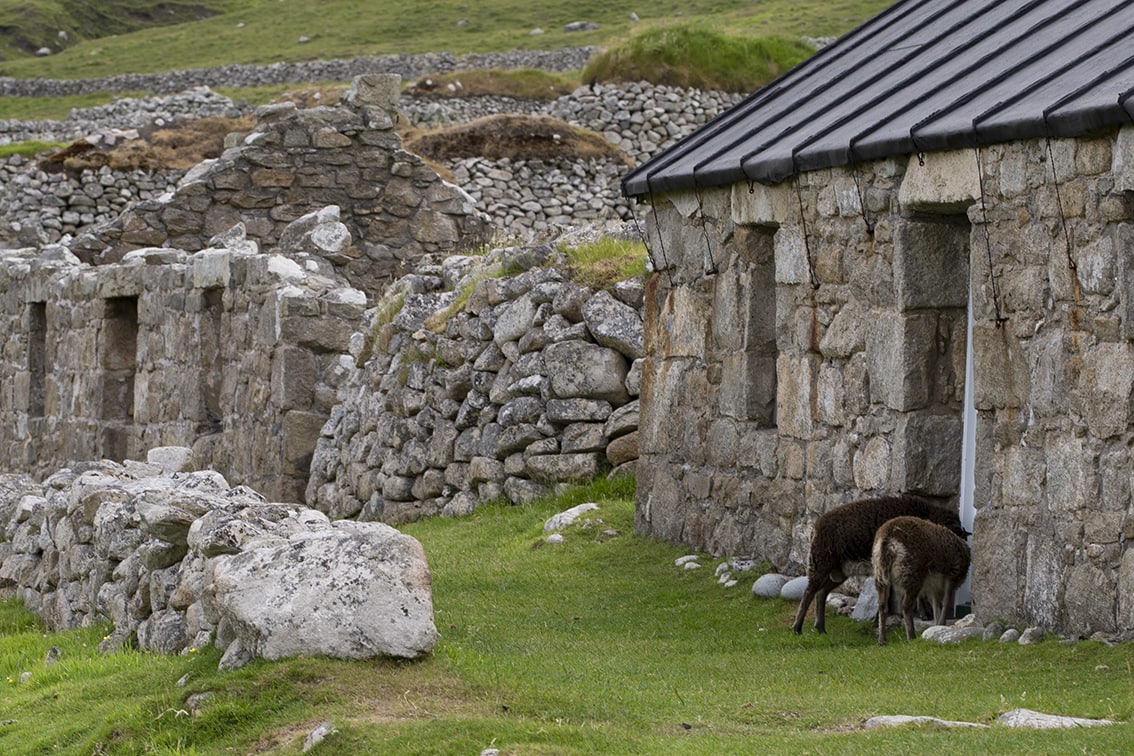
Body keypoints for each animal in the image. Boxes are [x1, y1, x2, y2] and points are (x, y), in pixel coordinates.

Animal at [789, 494, 966, 634]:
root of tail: (816, 527)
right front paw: (924, 613)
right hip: (820, 563)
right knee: (809, 592)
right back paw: (797, 628)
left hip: (839, 571)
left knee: (821, 593)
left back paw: (820, 628)